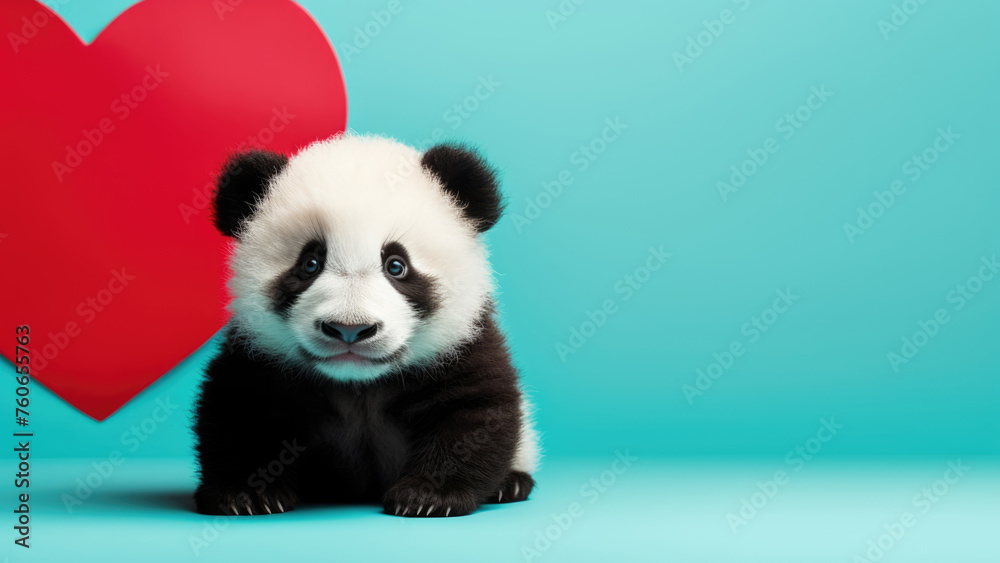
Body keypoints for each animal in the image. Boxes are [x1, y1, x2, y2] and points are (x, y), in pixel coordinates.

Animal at [193, 134, 539, 518]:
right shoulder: (257, 354)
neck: (358, 384)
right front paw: (247, 494)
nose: (349, 329)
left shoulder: (464, 343)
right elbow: (239, 410)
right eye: (310, 263)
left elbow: (473, 413)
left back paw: (510, 484)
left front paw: (428, 496)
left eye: (396, 265)